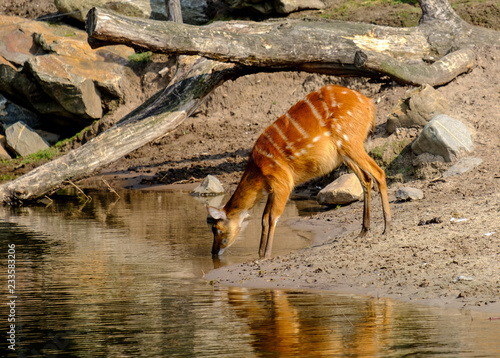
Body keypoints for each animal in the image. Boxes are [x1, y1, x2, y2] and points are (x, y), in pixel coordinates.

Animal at [207, 84, 390, 258]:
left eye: (217, 229)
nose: (214, 252)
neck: (259, 169)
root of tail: (369, 104)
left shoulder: (283, 183)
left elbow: (273, 217)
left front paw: (266, 255)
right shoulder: (272, 189)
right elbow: (264, 218)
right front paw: (259, 253)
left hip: (351, 142)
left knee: (379, 173)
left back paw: (387, 227)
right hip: (344, 153)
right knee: (366, 178)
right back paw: (364, 230)